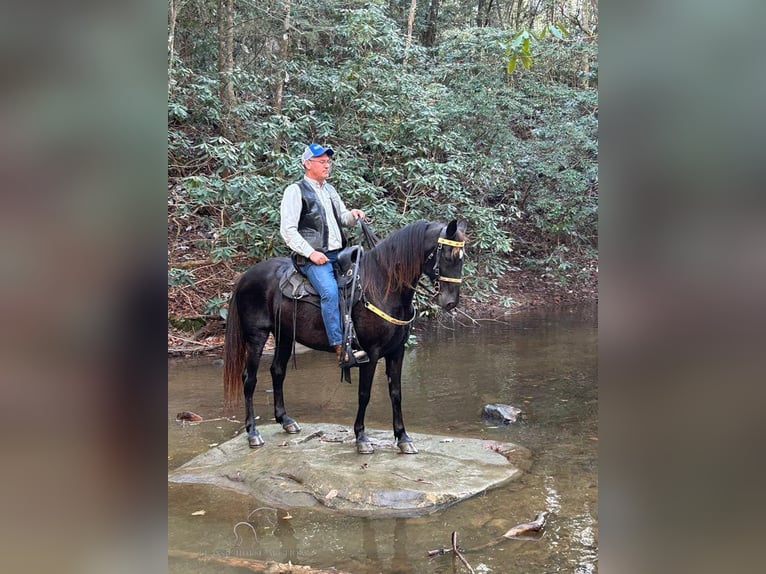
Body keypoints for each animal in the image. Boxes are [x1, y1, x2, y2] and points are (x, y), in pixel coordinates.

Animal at [222, 219, 468, 454]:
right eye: (448, 255)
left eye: (462, 258)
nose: (450, 302)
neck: (383, 287)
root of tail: (245, 276)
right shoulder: (371, 353)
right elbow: (364, 394)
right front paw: (361, 438)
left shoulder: (397, 352)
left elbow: (396, 393)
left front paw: (403, 438)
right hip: (257, 337)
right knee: (249, 379)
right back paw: (252, 433)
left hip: (284, 336)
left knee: (277, 371)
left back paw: (286, 421)